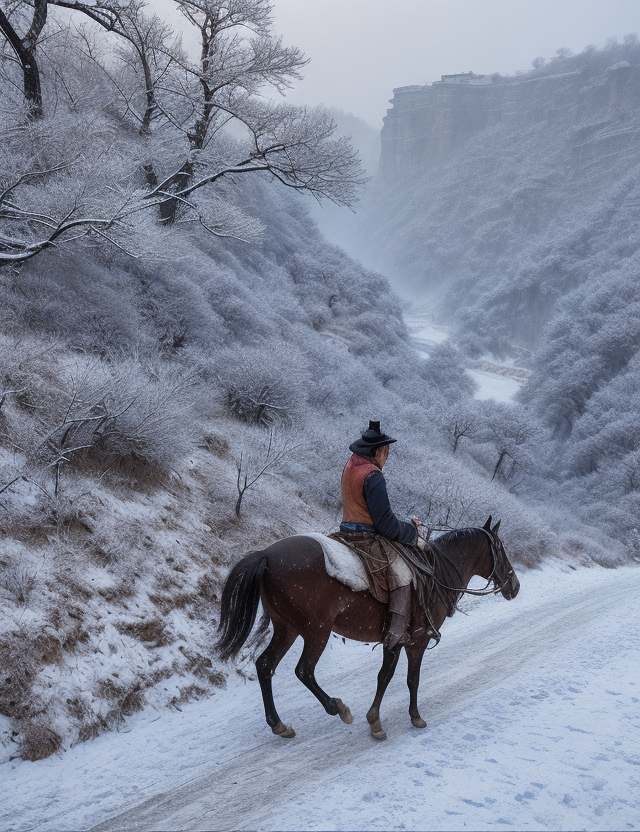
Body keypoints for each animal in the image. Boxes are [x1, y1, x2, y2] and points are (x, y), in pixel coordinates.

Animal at [218, 512, 516, 740]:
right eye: (501, 549)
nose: (515, 586)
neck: (435, 573)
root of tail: (266, 556)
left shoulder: (395, 639)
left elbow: (385, 676)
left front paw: (377, 720)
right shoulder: (416, 640)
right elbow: (409, 678)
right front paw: (406, 718)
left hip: (287, 629)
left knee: (265, 665)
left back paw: (279, 724)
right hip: (316, 631)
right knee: (304, 670)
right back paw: (337, 708)